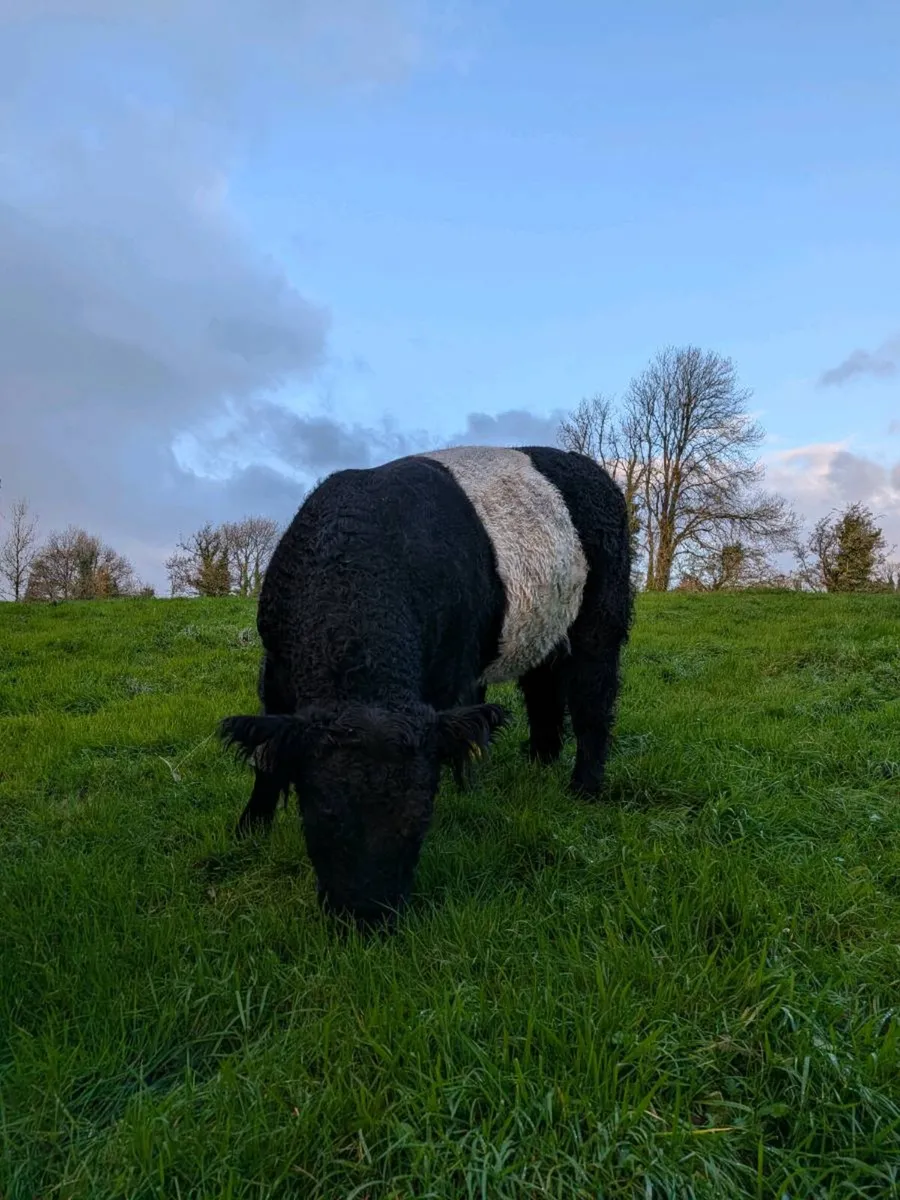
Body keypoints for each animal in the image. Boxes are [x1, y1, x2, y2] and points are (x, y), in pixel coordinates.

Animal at [219, 445, 633, 926]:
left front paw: (468, 794)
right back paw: (539, 760)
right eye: (320, 816)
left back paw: (583, 787)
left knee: (592, 701)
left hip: (602, 618)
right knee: (542, 690)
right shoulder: (275, 671)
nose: (368, 918)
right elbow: (267, 753)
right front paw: (249, 828)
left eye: (420, 822)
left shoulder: (455, 673)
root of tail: (590, 468)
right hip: (546, 630)